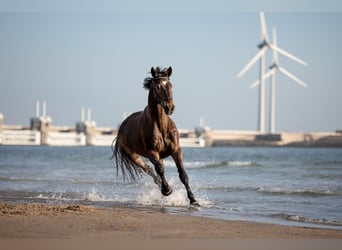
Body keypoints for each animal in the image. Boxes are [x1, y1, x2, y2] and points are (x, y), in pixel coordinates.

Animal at [112, 66, 198, 205]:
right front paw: (167, 190)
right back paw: (164, 188)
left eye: (170, 85)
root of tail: (122, 127)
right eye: (157, 87)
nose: (170, 107)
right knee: (150, 170)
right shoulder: (152, 152)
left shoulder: (176, 150)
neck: (161, 126)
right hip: (134, 156)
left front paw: (193, 200)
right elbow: (160, 170)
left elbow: (183, 175)